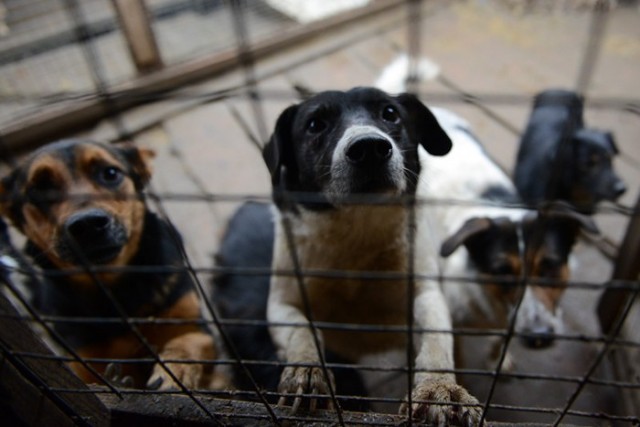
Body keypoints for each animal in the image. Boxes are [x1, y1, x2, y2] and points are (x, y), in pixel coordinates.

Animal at [0, 140, 226, 392]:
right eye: (38, 190)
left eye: (110, 173)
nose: (87, 224)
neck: (116, 288)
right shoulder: (86, 359)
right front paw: (118, 381)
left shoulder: (193, 327)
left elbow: (187, 341)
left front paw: (174, 372)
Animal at [260, 86, 480, 424]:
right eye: (315, 124)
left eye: (390, 113)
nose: (370, 148)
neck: (356, 229)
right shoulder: (281, 302)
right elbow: (303, 331)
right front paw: (307, 371)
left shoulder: (426, 293)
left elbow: (436, 341)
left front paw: (439, 388)